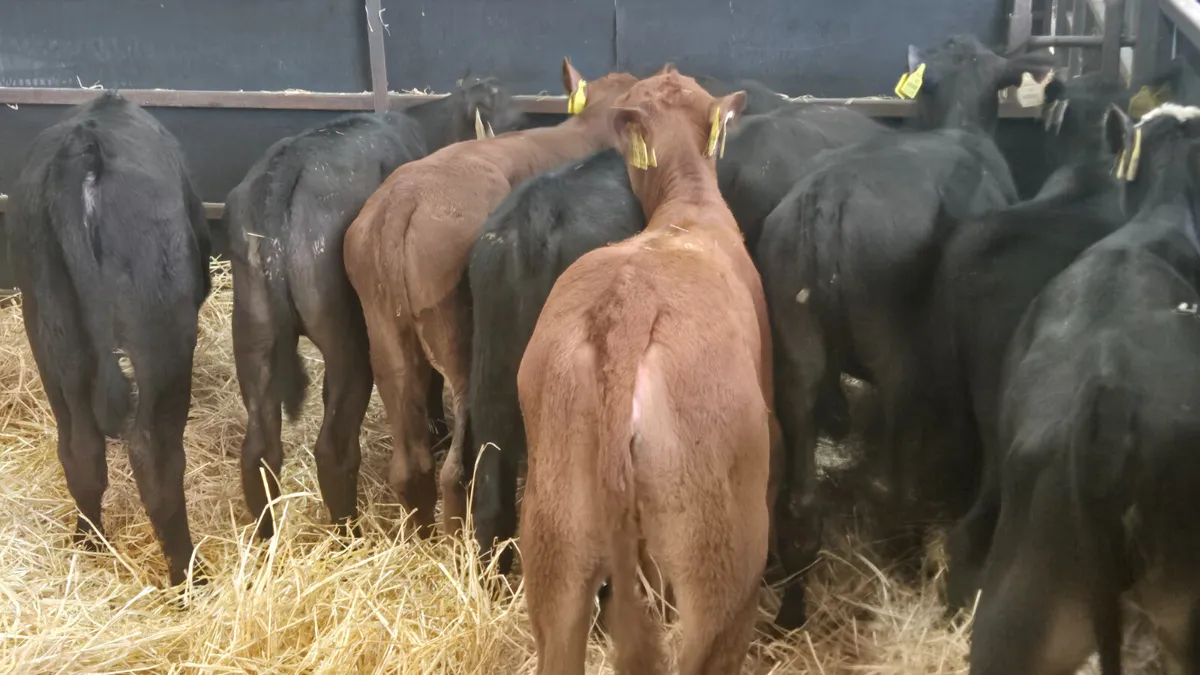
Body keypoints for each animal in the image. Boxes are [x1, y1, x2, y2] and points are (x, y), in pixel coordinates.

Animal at [7, 92, 211, 586]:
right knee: (155, 457)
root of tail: (83, 147)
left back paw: (89, 542)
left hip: (51, 332)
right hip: (161, 333)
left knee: (79, 448)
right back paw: (189, 577)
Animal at [223, 76, 521, 540]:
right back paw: (348, 532)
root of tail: (284, 174)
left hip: (255, 334)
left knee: (258, 450)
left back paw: (265, 540)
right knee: (334, 445)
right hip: (348, 342)